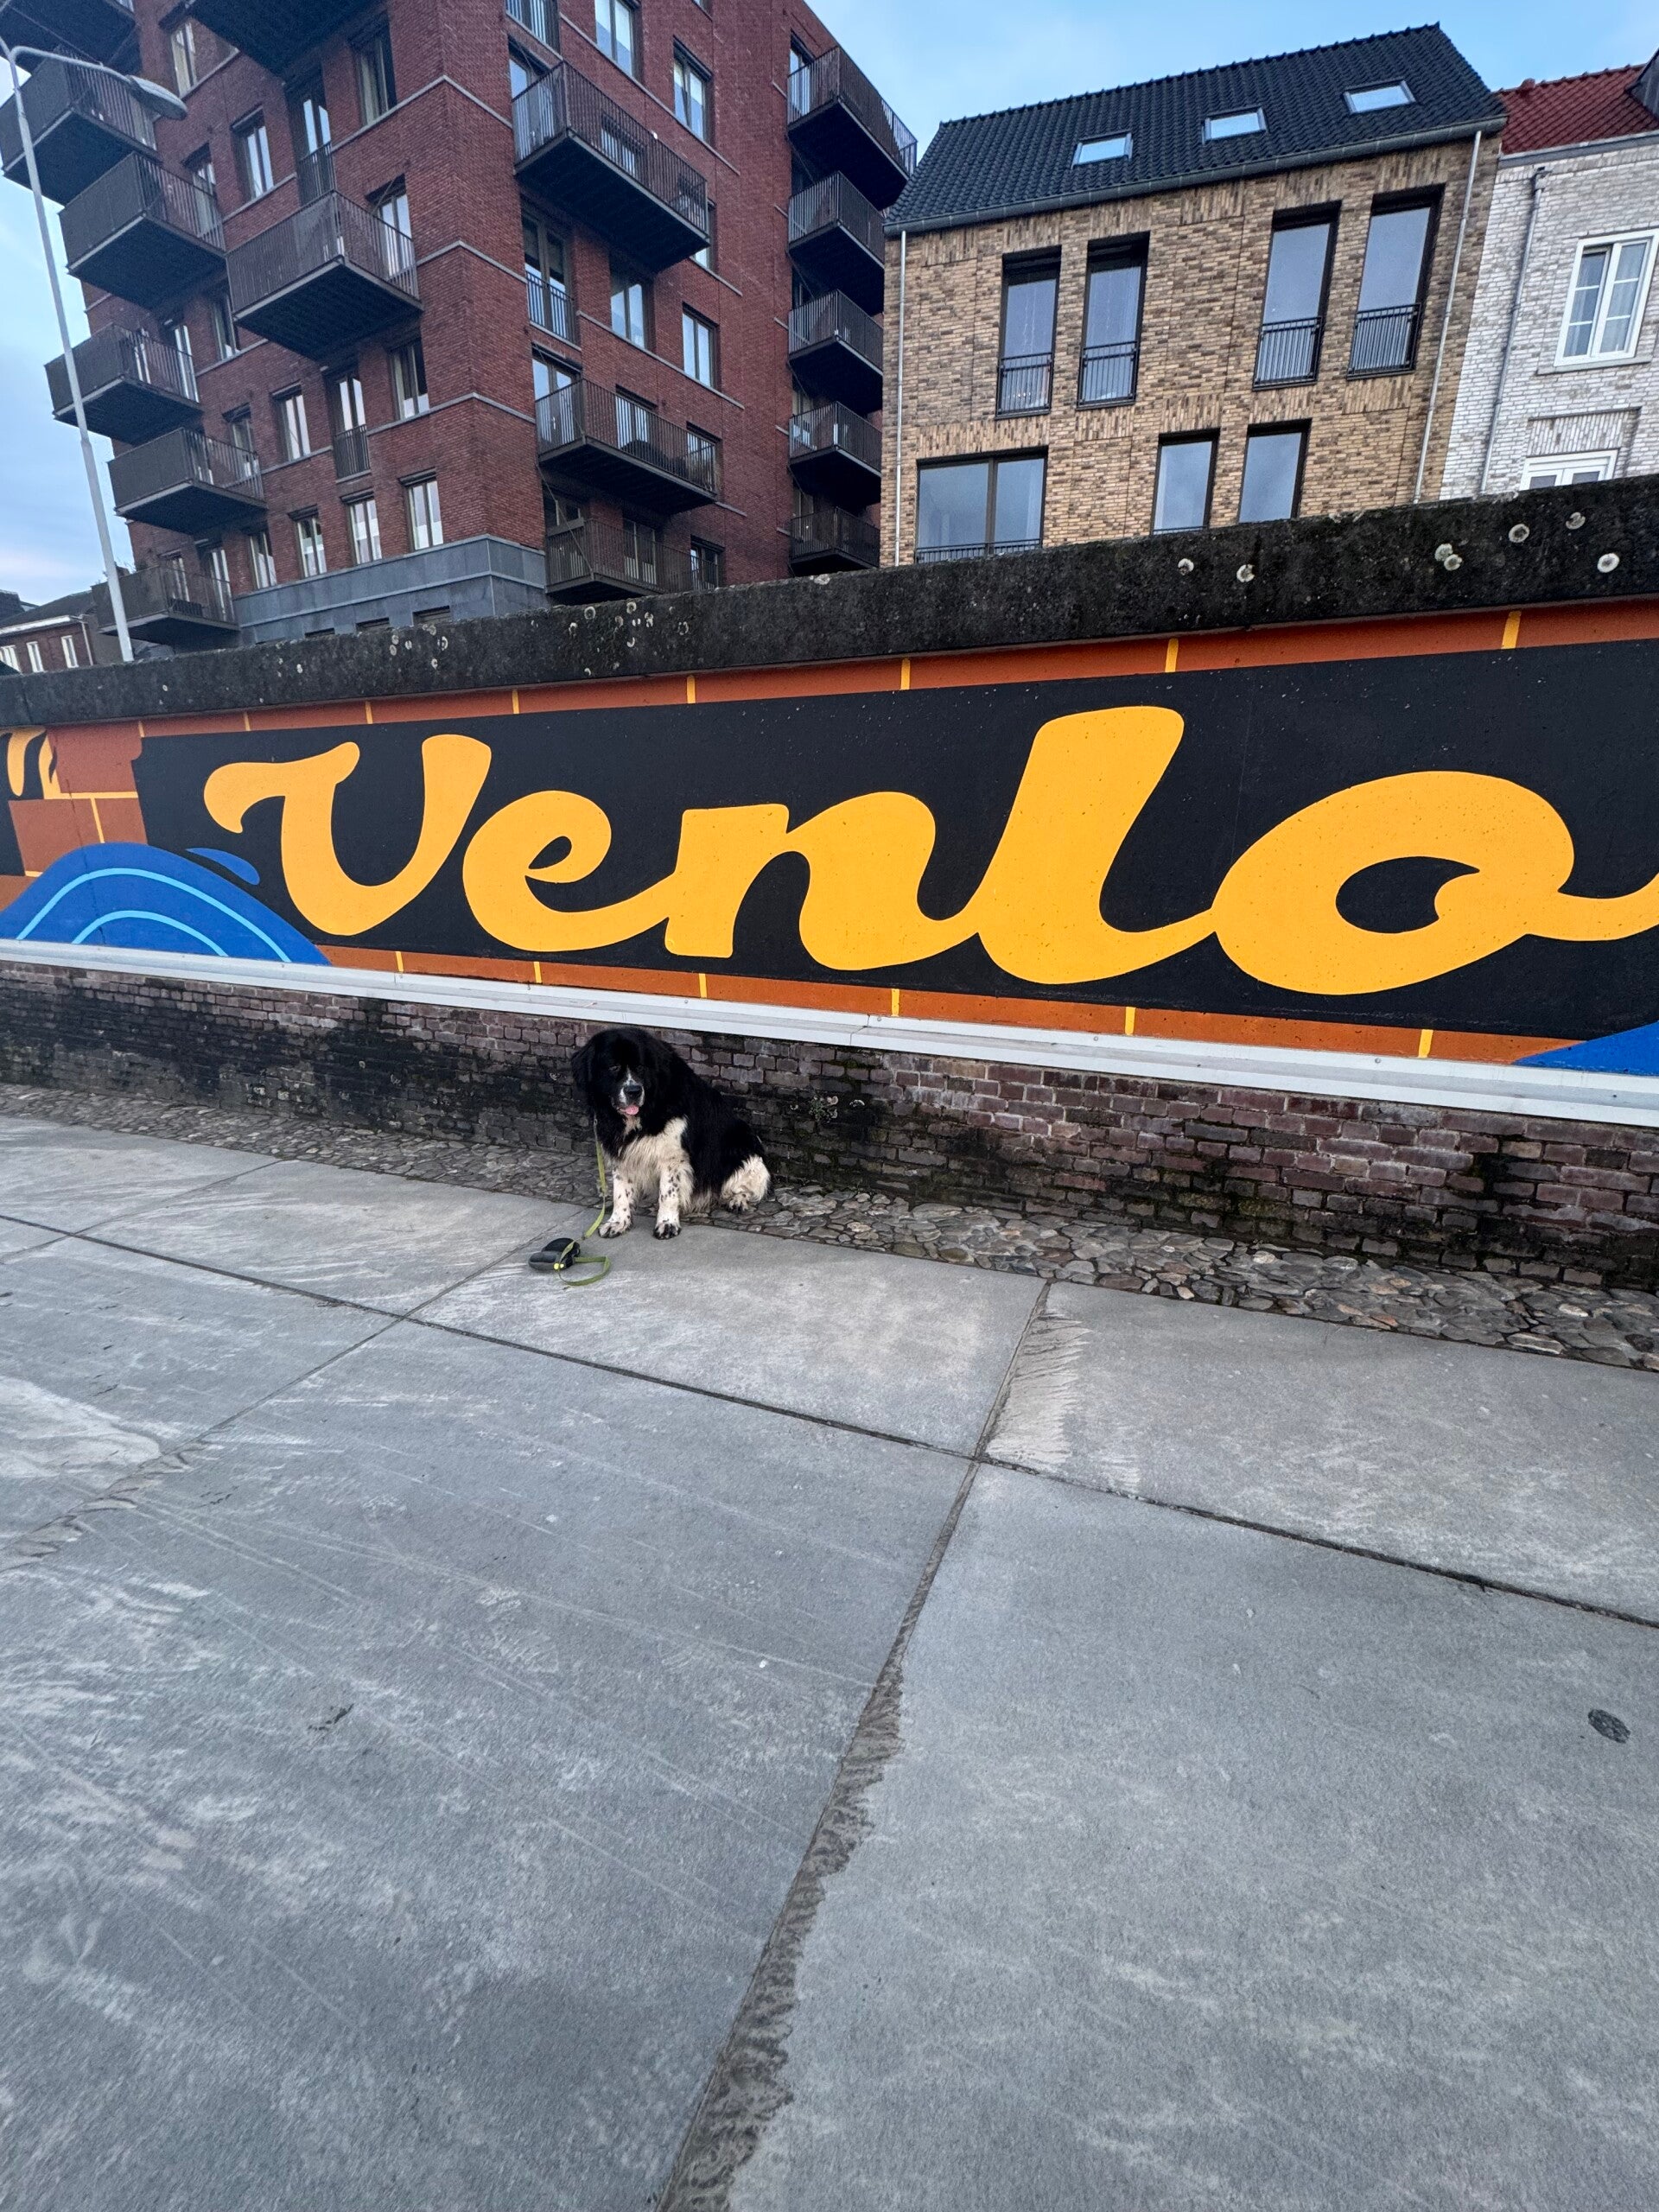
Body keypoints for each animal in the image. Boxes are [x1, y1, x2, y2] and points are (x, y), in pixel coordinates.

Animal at [572, 1027, 771, 1240]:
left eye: (641, 1067)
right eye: (614, 1067)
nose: (633, 1091)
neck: (642, 1116)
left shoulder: (672, 1156)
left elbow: (668, 1193)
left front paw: (667, 1224)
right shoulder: (621, 1152)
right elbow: (621, 1192)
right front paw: (618, 1222)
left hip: (745, 1149)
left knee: (745, 1186)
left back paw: (737, 1200)